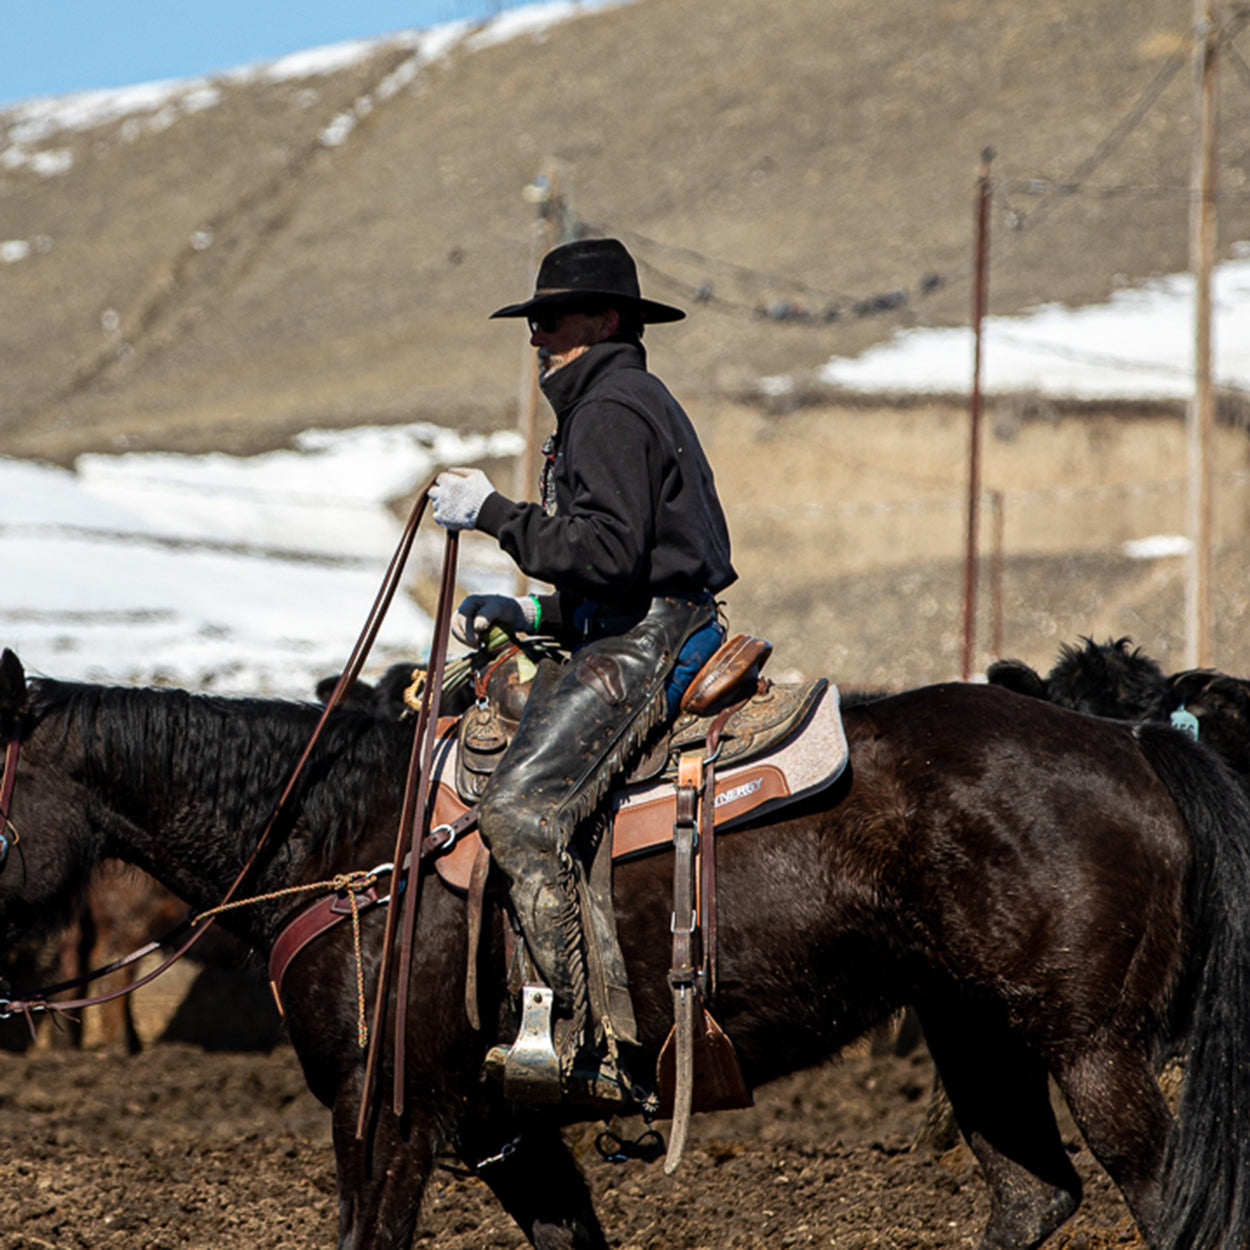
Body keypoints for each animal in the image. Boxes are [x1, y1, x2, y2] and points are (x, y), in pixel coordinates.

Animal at [2, 645, 1250, 1250]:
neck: (347, 839)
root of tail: (1137, 742)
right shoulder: (506, 1134)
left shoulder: (383, 1112)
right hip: (978, 1034)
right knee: (1031, 1196)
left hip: (1092, 1051)